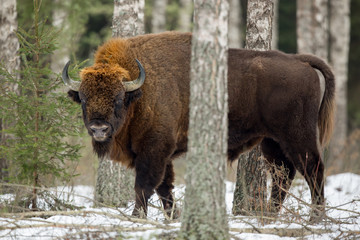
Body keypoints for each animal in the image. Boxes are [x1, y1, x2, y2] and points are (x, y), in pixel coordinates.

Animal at [62, 31, 334, 220]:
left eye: (118, 99)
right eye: (84, 99)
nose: (99, 129)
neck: (139, 92)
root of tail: (300, 61)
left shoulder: (154, 150)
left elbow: (144, 186)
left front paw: (137, 217)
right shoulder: (162, 155)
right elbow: (164, 188)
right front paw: (174, 217)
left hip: (298, 136)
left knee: (314, 170)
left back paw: (315, 217)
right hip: (272, 141)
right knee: (282, 174)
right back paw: (270, 214)